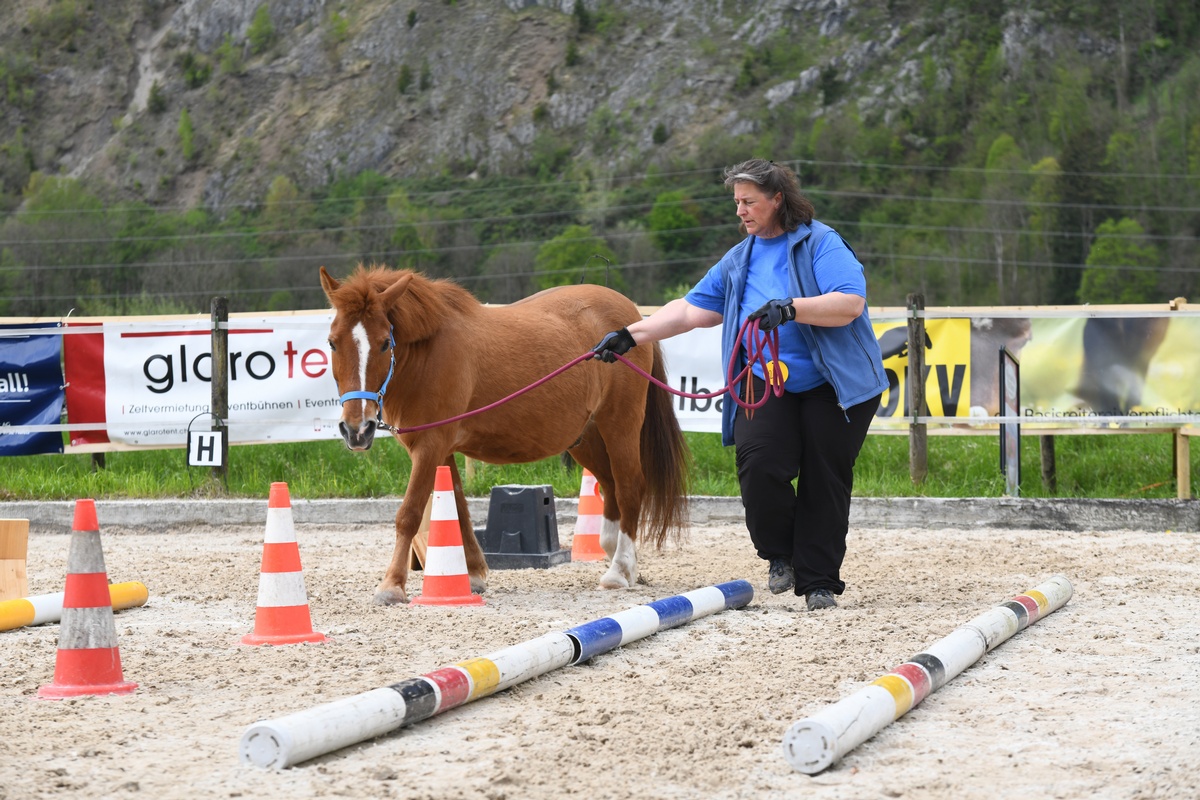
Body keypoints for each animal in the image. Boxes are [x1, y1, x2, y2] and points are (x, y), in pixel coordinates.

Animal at [319, 265, 690, 605]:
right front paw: (473, 574)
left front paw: (392, 585)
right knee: (610, 486)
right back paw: (620, 558)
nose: (357, 430)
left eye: (385, 344)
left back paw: (619, 569)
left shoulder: (429, 446)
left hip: (620, 424)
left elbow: (408, 514)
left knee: (629, 486)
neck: (428, 351)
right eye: (332, 343)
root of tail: (630, 319)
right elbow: (459, 510)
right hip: (585, 437)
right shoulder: (442, 449)